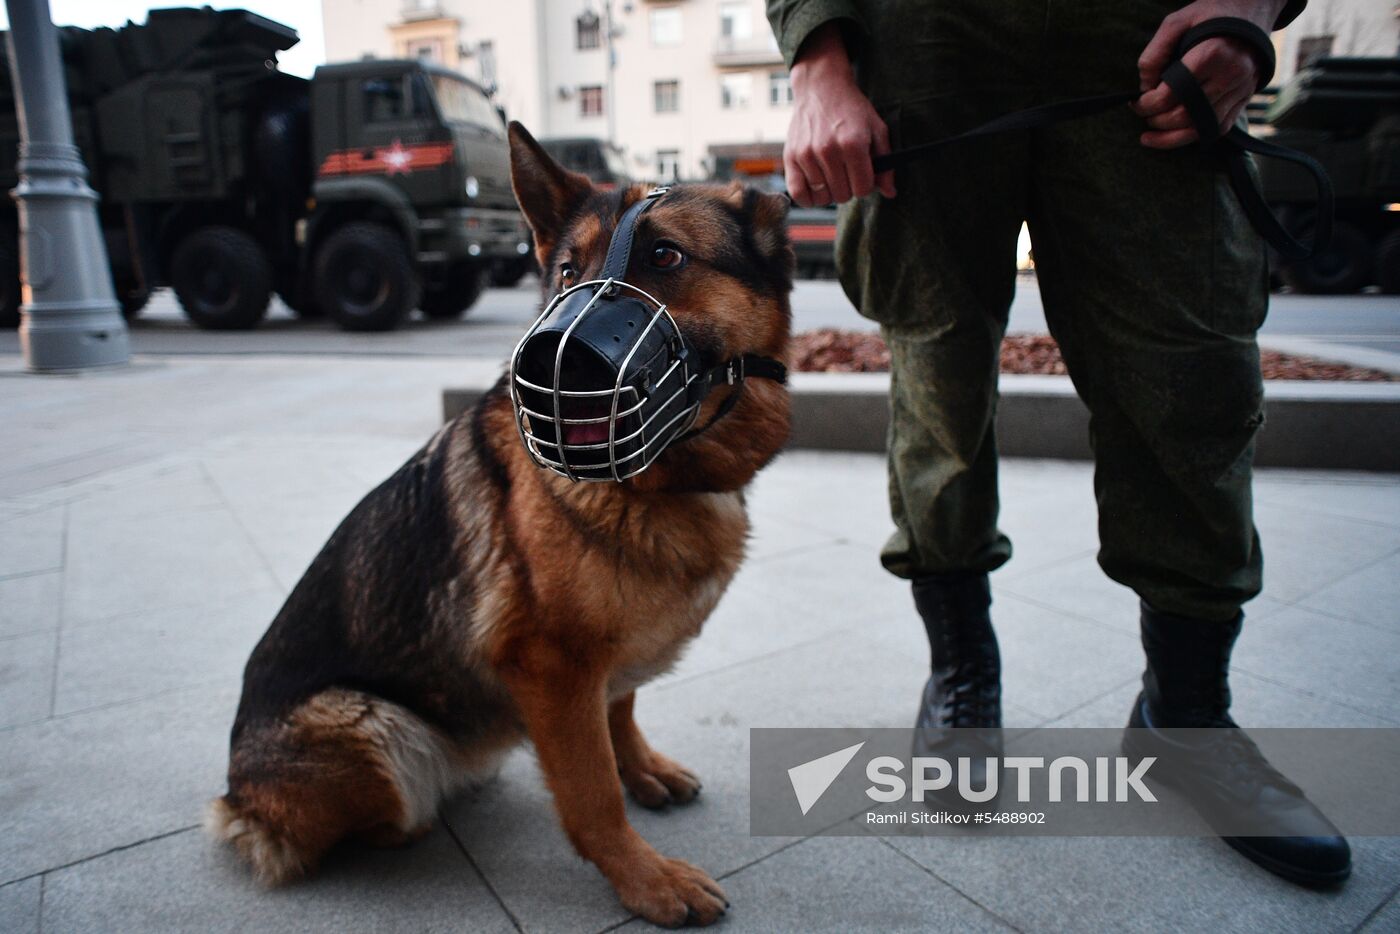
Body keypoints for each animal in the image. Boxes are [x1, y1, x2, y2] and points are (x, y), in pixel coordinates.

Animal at [210, 123, 800, 929]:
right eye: (566, 272)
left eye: (665, 258)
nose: (555, 357)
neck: (662, 483)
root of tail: (236, 793)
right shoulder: (553, 666)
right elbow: (593, 793)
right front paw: (644, 880)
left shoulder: (603, 658)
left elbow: (620, 710)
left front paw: (642, 768)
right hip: (377, 730)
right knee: (363, 819)